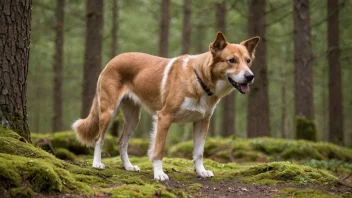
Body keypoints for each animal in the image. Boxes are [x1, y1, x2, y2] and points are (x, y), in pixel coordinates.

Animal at [72, 31, 258, 181]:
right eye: (231, 60)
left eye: (248, 61)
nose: (250, 76)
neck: (199, 80)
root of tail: (112, 60)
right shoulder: (164, 117)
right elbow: (159, 150)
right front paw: (159, 174)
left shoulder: (202, 121)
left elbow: (199, 152)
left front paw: (201, 172)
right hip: (108, 112)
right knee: (99, 139)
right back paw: (97, 163)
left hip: (133, 118)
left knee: (121, 142)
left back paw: (128, 166)